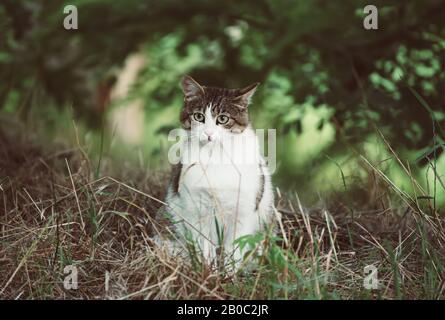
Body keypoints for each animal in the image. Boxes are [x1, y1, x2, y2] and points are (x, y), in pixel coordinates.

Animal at [163, 75, 274, 270]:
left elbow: (234, 249)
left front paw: (229, 274)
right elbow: (205, 247)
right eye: (198, 116)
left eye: (222, 119)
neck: (216, 156)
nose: (208, 133)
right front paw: (208, 271)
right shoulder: (197, 210)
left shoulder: (243, 211)